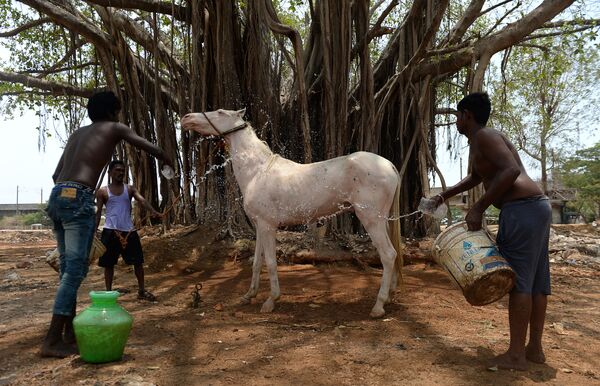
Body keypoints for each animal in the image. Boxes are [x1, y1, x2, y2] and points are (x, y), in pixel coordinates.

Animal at [182, 108, 404, 316]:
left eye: (220, 112)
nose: (186, 118)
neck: (257, 171)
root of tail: (390, 166)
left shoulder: (268, 226)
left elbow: (271, 262)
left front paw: (271, 301)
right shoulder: (259, 226)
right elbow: (257, 262)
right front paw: (249, 295)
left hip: (371, 219)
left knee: (388, 255)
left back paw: (378, 306)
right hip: (382, 220)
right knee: (392, 253)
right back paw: (390, 296)